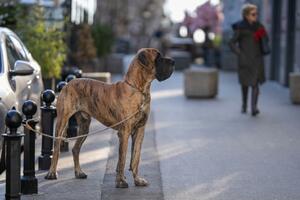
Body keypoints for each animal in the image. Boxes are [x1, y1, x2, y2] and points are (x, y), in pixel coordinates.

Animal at [45, 48, 175, 188]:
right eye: (158, 58)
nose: (173, 61)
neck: (139, 89)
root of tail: (68, 83)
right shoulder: (124, 132)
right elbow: (122, 159)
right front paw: (121, 181)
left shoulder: (140, 130)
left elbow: (136, 158)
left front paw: (137, 180)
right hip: (62, 121)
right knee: (57, 148)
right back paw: (52, 173)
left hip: (84, 127)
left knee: (75, 149)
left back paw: (79, 172)